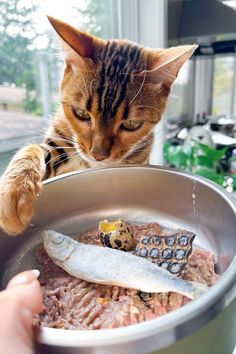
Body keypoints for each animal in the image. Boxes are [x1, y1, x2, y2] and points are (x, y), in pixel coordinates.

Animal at [0, 15, 196, 235]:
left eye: (131, 124)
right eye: (81, 113)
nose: (98, 155)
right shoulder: (59, 142)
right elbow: (32, 149)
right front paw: (16, 190)